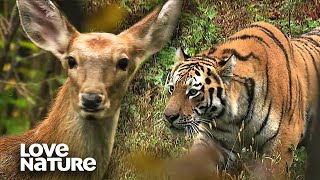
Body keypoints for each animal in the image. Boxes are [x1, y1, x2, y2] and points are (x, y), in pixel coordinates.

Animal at [164, 21, 318, 178]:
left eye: (193, 92)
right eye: (172, 88)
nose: (168, 116)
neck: (235, 117)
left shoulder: (282, 142)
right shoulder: (212, 138)